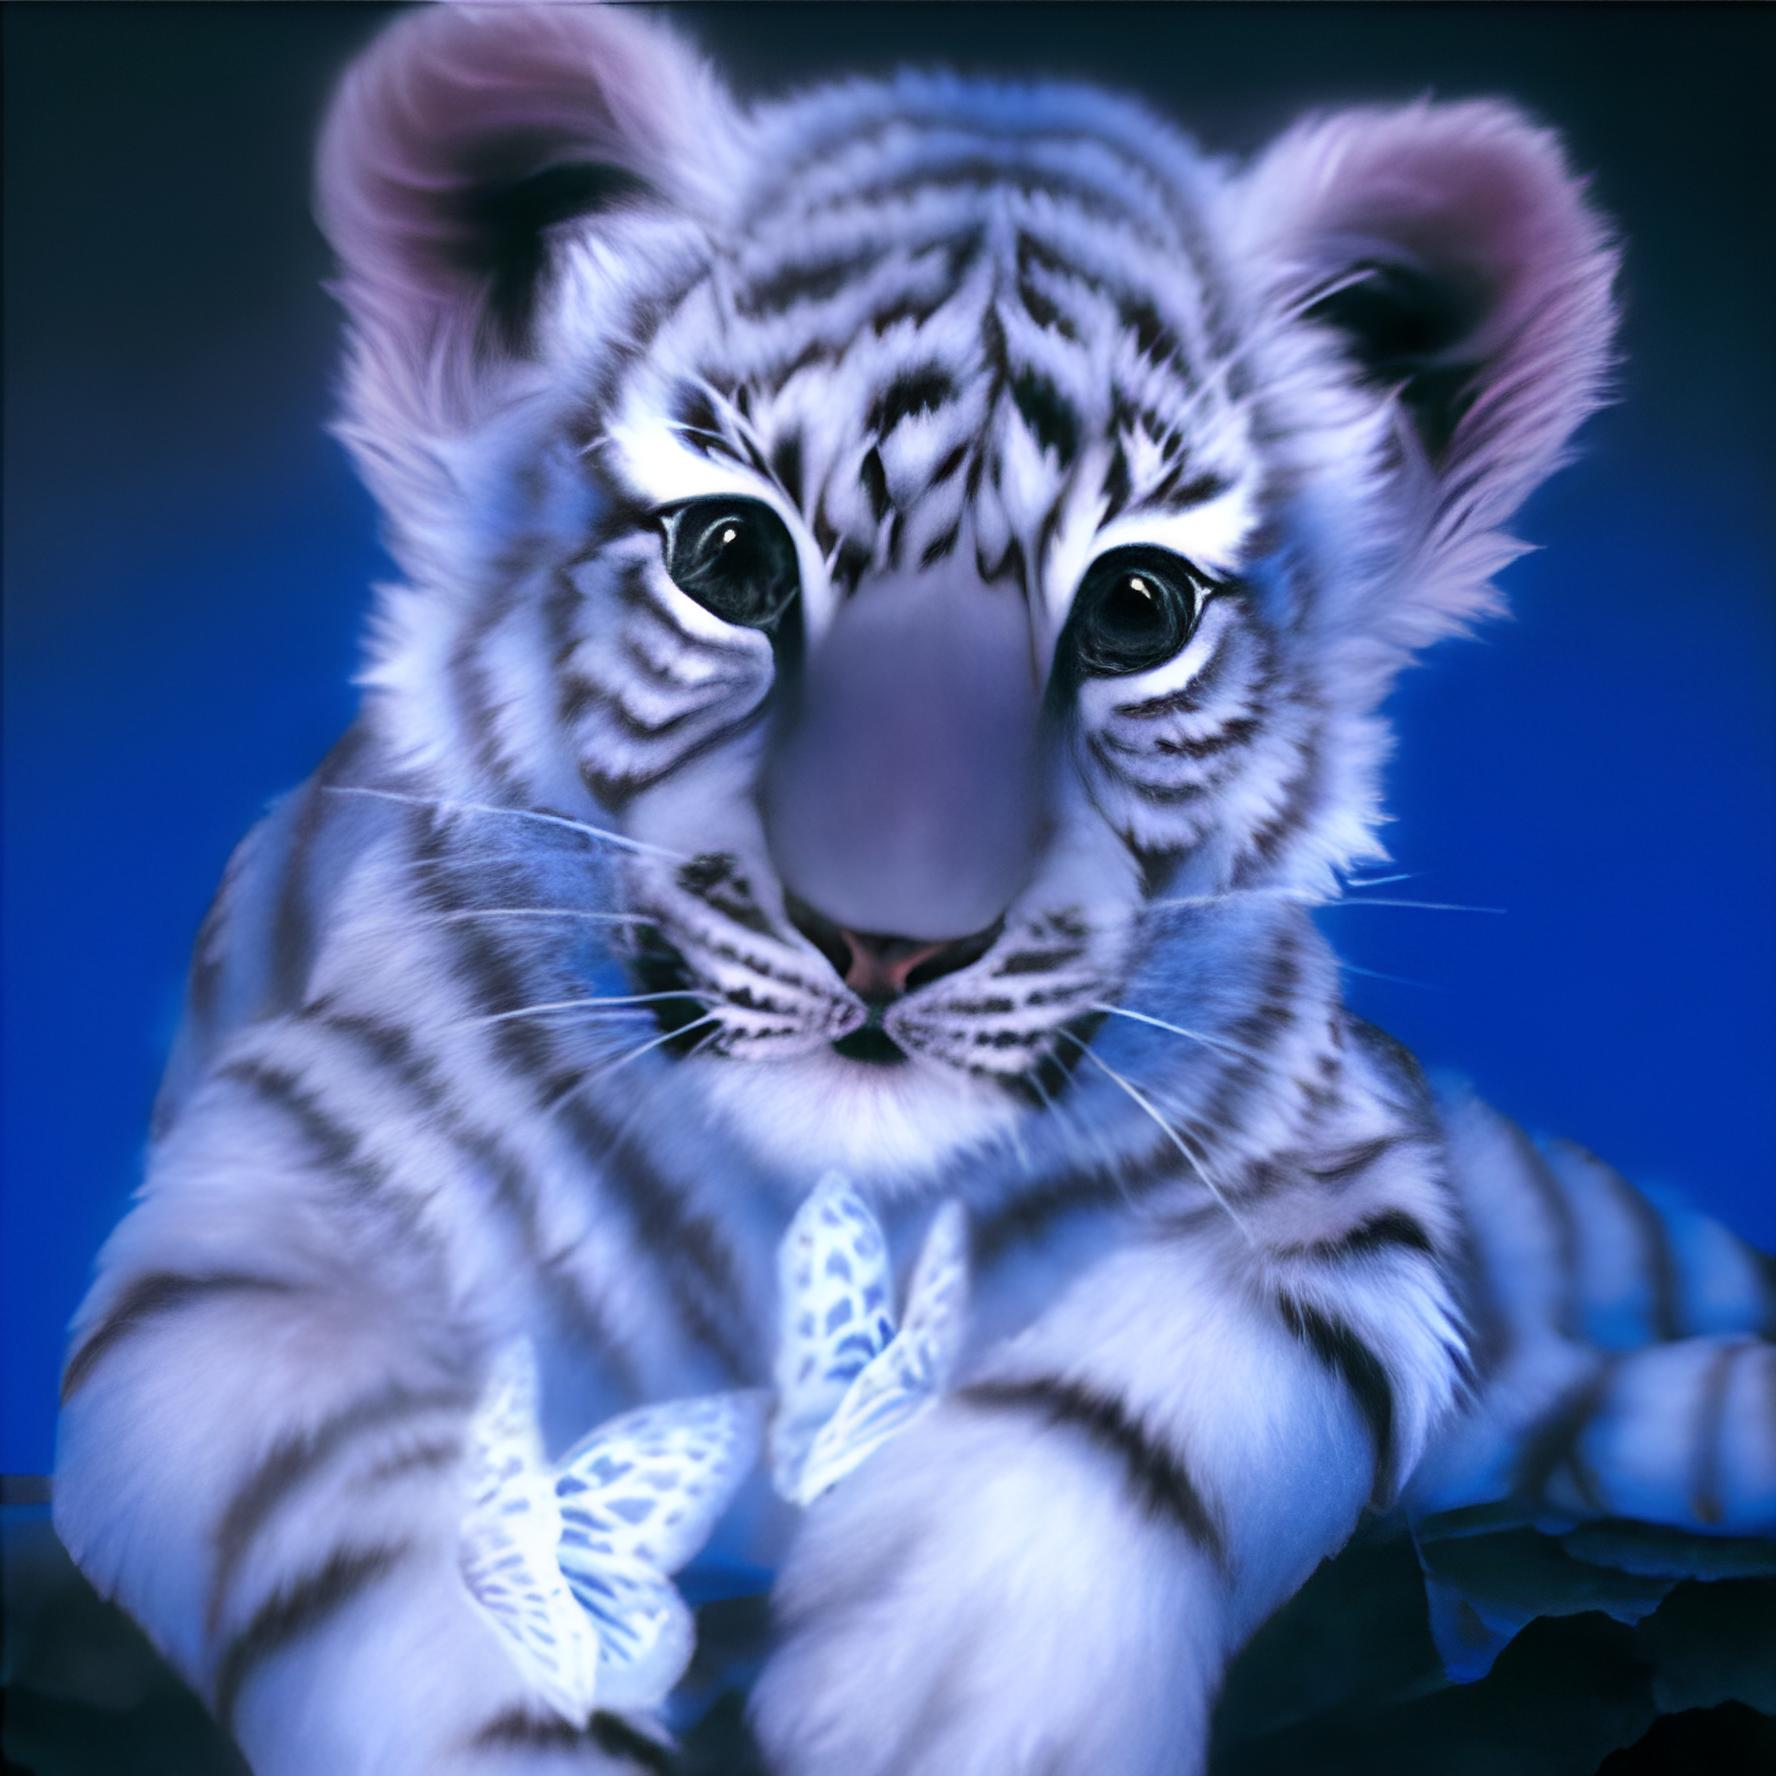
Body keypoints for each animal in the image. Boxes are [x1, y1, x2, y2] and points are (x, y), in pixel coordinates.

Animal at [52, 5, 1776, 1774]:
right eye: (728, 558)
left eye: (1139, 606)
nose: (888, 943)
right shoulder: (264, 1227)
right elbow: (385, 1508)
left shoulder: (1337, 1187)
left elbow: (1161, 1395)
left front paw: (966, 1681)